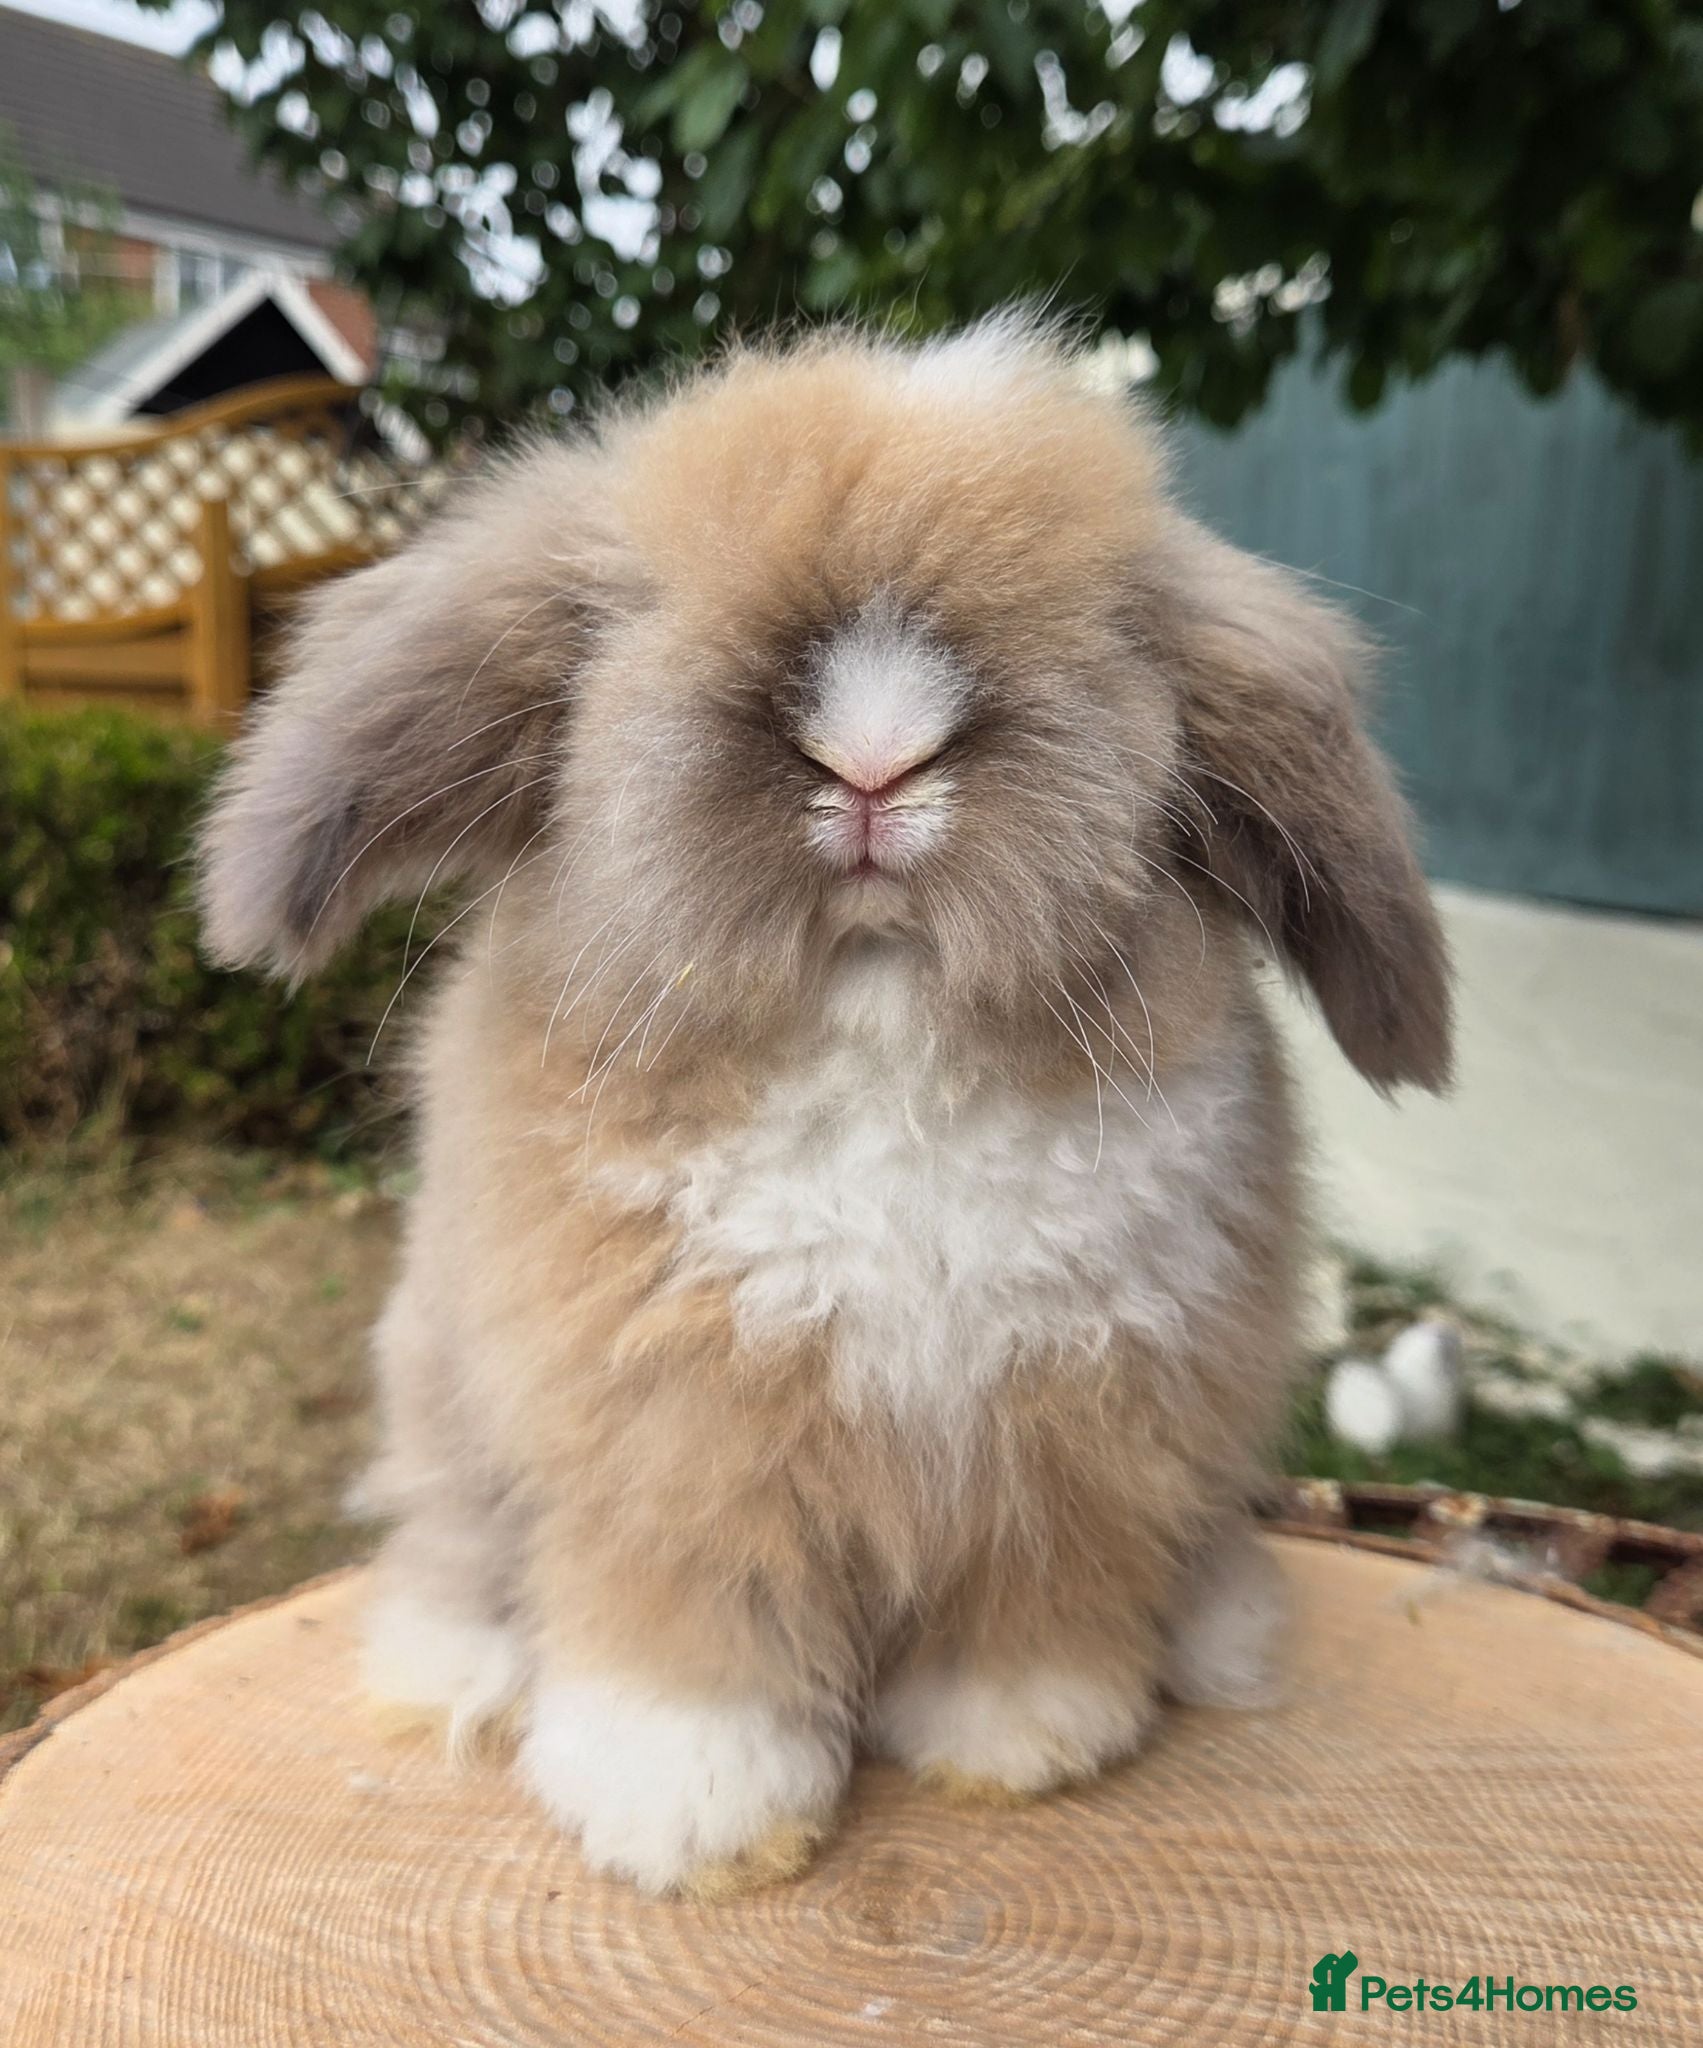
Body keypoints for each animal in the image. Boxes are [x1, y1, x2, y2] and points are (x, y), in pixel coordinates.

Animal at [197, 316, 1451, 1899]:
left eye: (1109, 632)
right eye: (637, 613)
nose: (873, 754)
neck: (877, 1045)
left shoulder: (1070, 1448)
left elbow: (1034, 1613)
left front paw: (1019, 1747)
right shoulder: (673, 1454)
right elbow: (688, 1647)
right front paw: (689, 1824)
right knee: (452, 1557)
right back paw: (455, 1676)